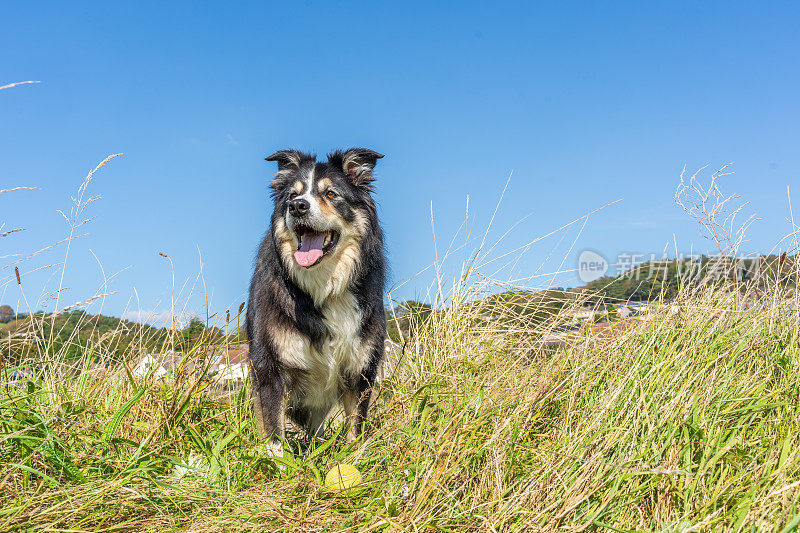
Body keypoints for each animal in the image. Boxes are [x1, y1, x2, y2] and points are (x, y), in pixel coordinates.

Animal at [247, 147, 388, 458]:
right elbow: (273, 428)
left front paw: (354, 458)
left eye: (331, 193)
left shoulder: (360, 369)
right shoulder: (270, 367)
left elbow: (356, 426)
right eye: (292, 195)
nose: (297, 206)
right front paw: (278, 462)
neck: (323, 287)